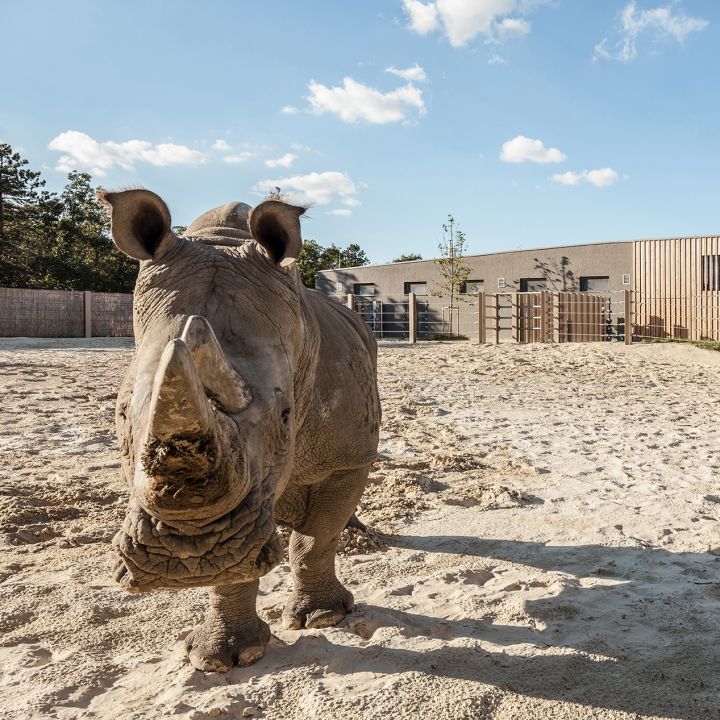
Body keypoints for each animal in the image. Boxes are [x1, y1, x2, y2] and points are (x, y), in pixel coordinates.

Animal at [101, 189, 381, 672]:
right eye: (119, 415)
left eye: (286, 415)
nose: (191, 556)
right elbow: (234, 576)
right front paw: (220, 656)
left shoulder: (347, 457)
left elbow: (316, 541)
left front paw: (323, 618)